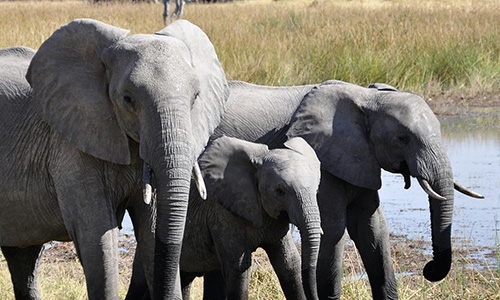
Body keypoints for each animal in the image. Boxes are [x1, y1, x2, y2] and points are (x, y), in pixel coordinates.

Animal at [0, 18, 229, 298]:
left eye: (196, 98)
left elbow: (151, 231)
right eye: (128, 99)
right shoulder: (70, 143)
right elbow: (97, 239)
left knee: (23, 258)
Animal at [200, 79, 484, 300]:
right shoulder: (323, 160)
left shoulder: (361, 159)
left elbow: (372, 228)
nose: (429, 268)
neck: (367, 98)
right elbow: (334, 228)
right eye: (403, 139)